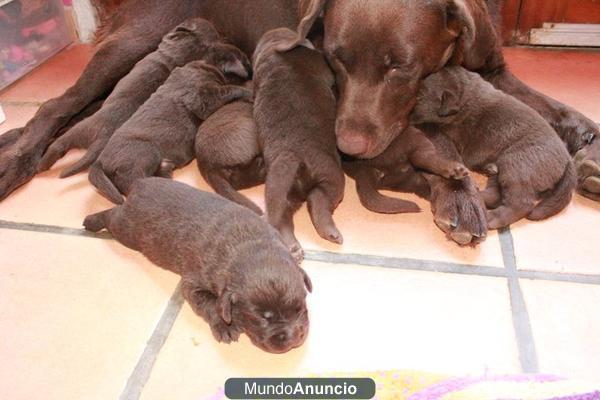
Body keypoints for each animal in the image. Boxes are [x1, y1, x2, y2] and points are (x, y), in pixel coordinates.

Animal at [85, 178, 314, 354]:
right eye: (263, 318)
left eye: (300, 307)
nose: (294, 337)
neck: (250, 244)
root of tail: (140, 183)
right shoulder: (193, 283)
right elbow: (211, 303)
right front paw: (225, 326)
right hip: (127, 229)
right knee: (113, 213)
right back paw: (92, 220)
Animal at [88, 59, 250, 205]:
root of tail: (99, 161)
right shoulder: (202, 98)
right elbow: (227, 89)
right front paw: (246, 92)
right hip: (146, 152)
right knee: (131, 182)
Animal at [253, 27, 346, 260]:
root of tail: (295, 156)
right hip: (331, 175)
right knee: (319, 202)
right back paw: (330, 233)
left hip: (285, 192)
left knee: (285, 217)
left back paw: (294, 247)